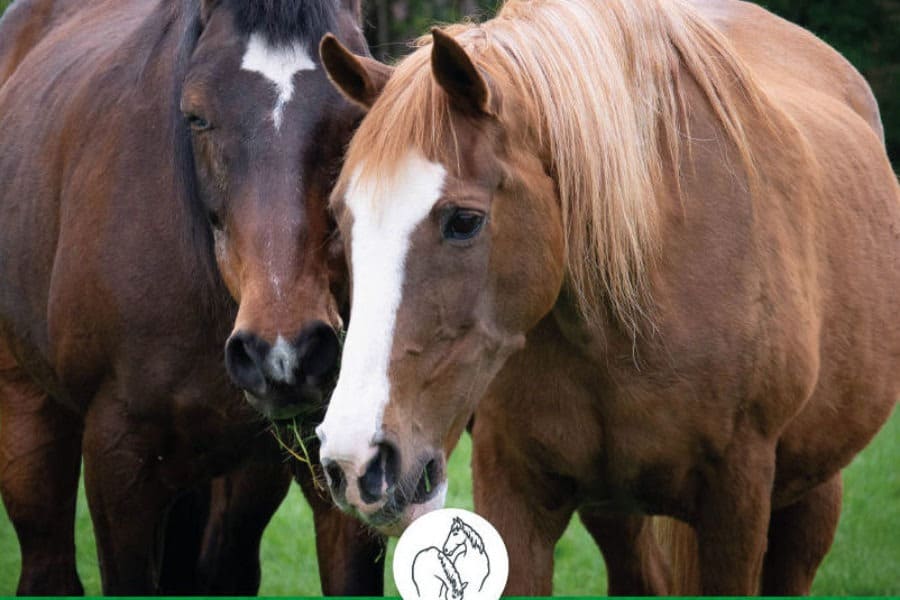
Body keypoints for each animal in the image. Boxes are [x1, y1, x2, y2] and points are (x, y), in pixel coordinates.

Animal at [314, 0, 899, 594]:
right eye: (340, 218)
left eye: (463, 221)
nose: (355, 462)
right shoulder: (513, 491)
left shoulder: (737, 500)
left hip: (810, 494)